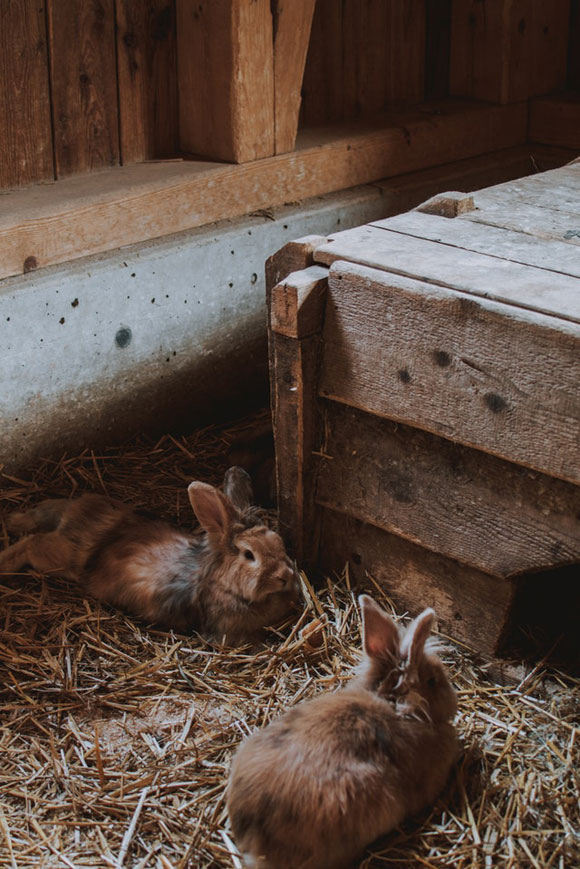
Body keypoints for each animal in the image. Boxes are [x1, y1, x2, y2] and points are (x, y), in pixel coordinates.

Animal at [0, 464, 300, 640]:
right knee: (32, 542)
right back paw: (6, 561)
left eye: (278, 541)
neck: (223, 585)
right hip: (58, 557)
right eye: (249, 555)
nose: (285, 576)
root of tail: (76, 513)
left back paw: (13, 521)